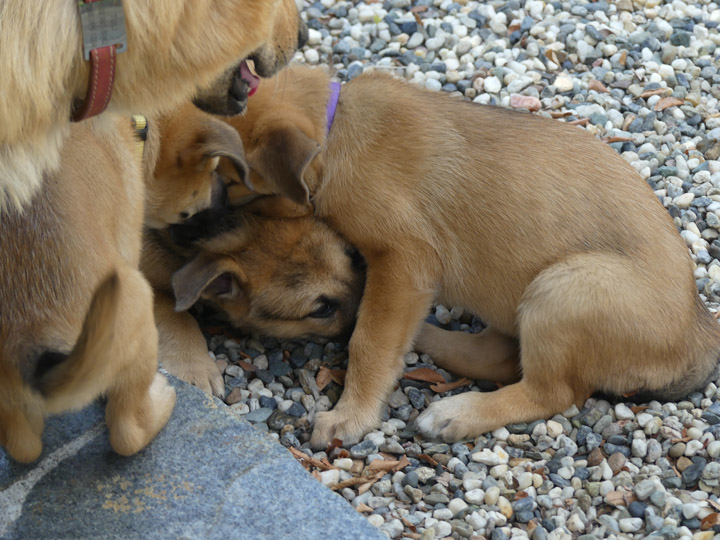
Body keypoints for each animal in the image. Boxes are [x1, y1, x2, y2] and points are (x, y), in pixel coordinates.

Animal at [225, 64, 720, 448]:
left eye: (231, 183)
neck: (336, 125)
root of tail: (699, 332)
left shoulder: (405, 260)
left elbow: (370, 342)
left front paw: (350, 416)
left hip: (564, 289)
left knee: (550, 393)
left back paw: (457, 412)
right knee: (497, 356)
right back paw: (429, 342)